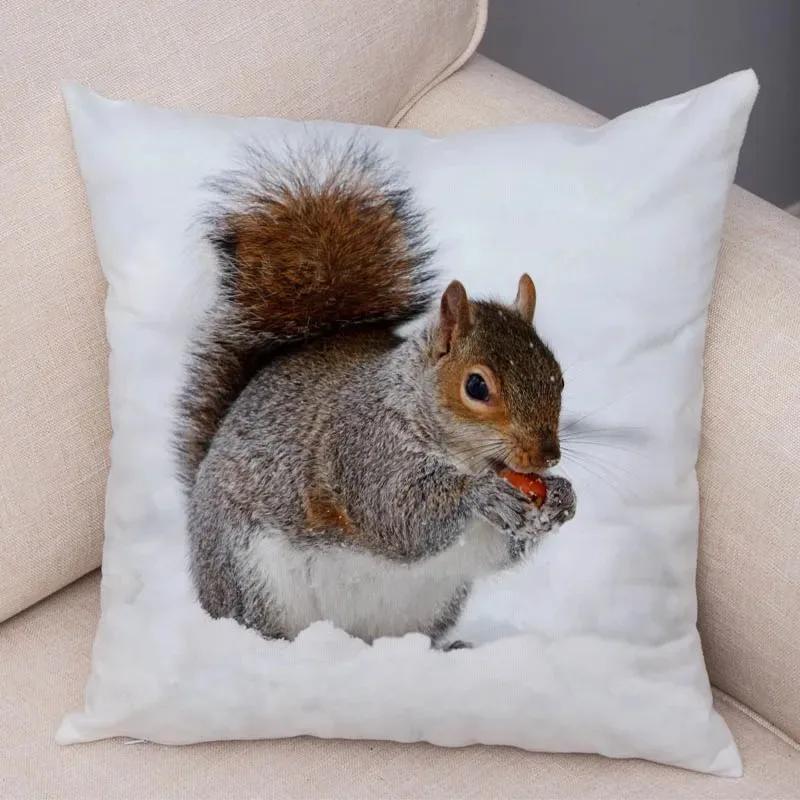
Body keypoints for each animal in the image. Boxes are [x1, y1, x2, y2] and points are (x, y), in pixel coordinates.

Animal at [176, 141, 576, 649]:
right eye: (476, 386)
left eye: (559, 377)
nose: (547, 456)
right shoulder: (364, 450)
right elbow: (398, 515)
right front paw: (481, 494)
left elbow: (498, 549)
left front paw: (562, 497)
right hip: (253, 577)